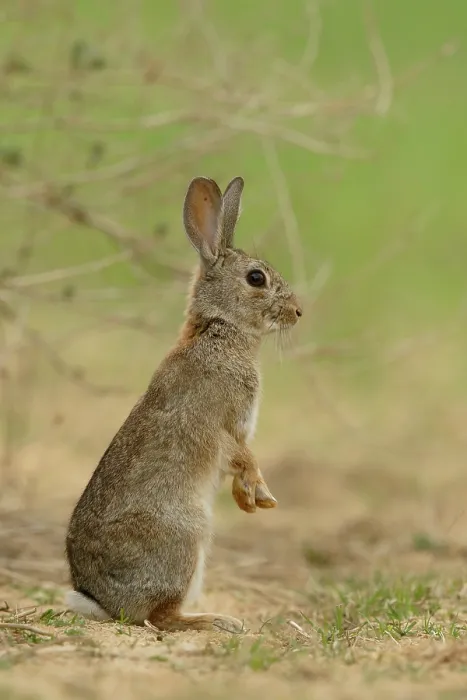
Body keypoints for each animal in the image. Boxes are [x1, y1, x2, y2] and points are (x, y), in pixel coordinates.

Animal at [65, 175, 302, 632]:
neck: (219, 329)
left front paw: (248, 501)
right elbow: (243, 456)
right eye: (256, 278)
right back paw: (218, 621)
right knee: (162, 617)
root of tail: (103, 601)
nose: (298, 312)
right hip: (187, 536)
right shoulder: (224, 424)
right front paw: (263, 496)